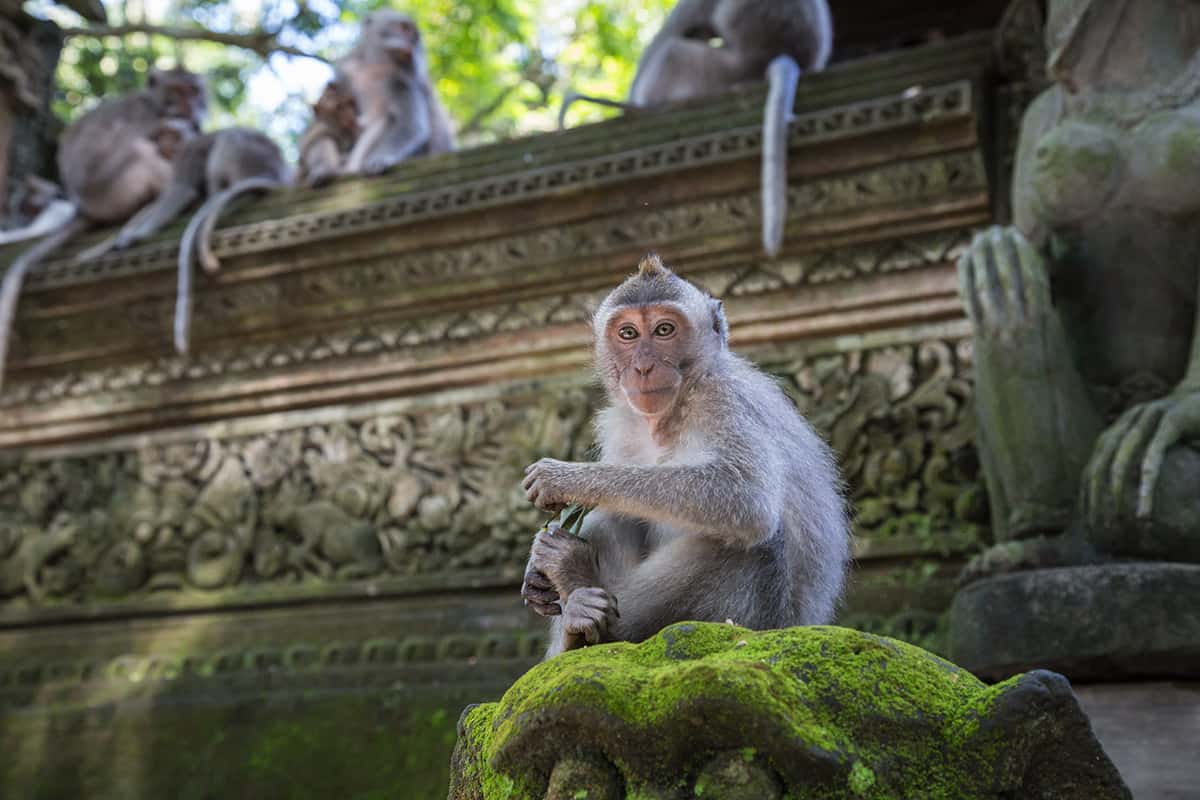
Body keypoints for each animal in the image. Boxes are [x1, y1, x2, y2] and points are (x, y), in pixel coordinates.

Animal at [520, 255, 849, 657]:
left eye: (664, 330)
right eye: (628, 334)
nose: (643, 368)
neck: (672, 414)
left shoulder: (723, 400)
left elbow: (745, 495)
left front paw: (570, 478)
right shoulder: (623, 425)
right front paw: (536, 574)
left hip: (758, 621)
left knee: (756, 542)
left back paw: (580, 589)